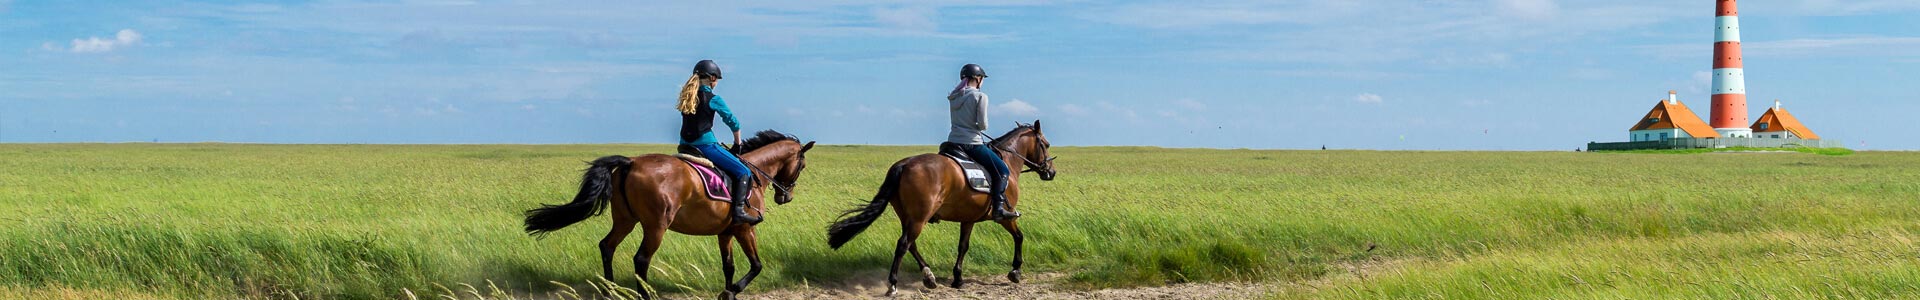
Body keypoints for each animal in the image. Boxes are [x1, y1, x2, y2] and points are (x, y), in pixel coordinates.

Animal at [522, 130, 814, 300]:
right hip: (656, 226)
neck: (753, 173)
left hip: (625, 220)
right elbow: (756, 265)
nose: (785, 196)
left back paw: (611, 290)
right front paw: (733, 291)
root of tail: (630, 162)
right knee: (640, 259)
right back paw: (642, 295)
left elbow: (728, 266)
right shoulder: (745, 229)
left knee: (607, 246)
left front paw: (728, 292)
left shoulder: (725, 232)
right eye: (802, 165)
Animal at [829, 120, 1067, 296]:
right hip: (919, 218)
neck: (1007, 160)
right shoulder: (1006, 217)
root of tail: (904, 164)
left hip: (909, 217)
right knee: (903, 244)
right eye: (1046, 144)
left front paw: (958, 279)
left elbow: (963, 246)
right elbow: (1019, 236)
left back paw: (929, 277)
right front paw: (1015, 271)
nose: (1051, 172)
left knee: (911, 244)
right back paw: (893, 285)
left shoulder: (968, 219)